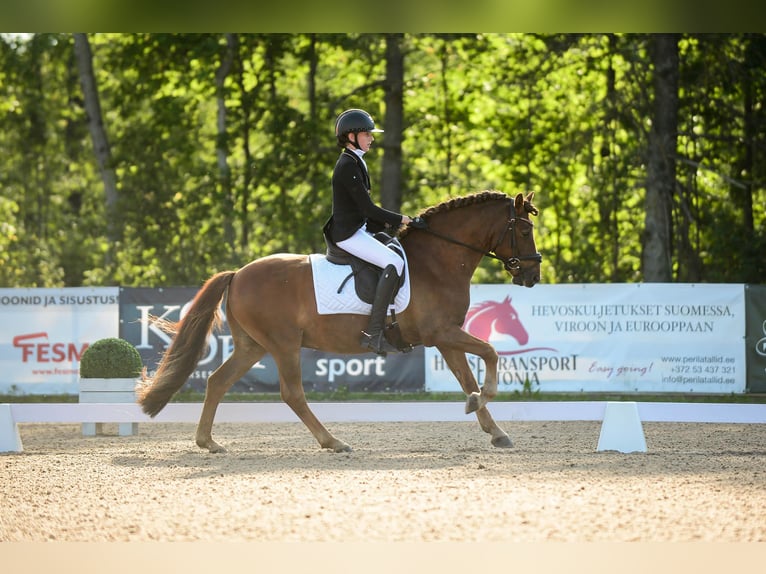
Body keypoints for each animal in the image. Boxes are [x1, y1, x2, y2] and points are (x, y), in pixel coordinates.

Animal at [136, 190, 541, 453]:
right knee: (292, 394)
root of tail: (237, 274)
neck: (438, 261)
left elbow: (468, 378)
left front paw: (493, 428)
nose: (533, 276)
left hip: (254, 345)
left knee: (218, 381)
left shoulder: (445, 338)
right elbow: (490, 353)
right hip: (283, 344)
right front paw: (480, 402)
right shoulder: (442, 332)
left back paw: (209, 442)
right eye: (524, 231)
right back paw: (333, 442)